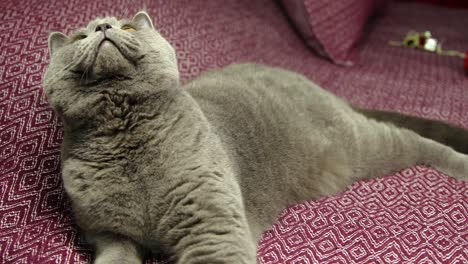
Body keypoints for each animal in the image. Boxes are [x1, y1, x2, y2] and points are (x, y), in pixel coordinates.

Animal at [44, 10, 468, 264]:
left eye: (129, 27)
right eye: (79, 35)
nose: (103, 28)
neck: (126, 133)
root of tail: (309, 80)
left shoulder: (211, 222)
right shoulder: (106, 232)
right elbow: (115, 252)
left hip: (362, 145)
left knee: (414, 140)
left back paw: (461, 164)